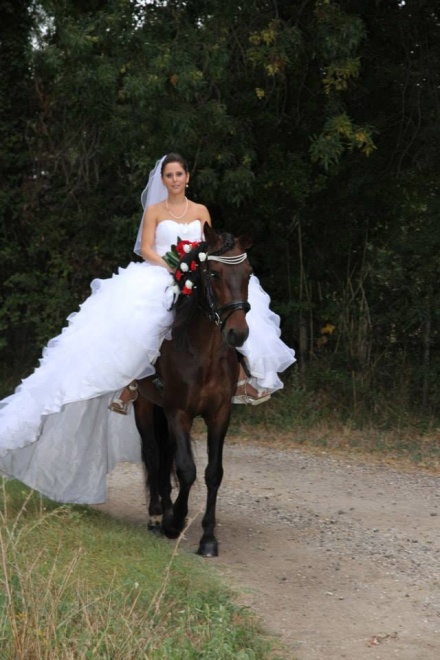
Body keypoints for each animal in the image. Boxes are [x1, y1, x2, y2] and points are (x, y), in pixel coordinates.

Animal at [132, 223, 253, 556]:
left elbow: (213, 473)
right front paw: (175, 522)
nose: (238, 334)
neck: (204, 353)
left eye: (249, 273)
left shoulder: (219, 415)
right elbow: (187, 469)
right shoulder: (178, 412)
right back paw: (157, 515)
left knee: (165, 456)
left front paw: (208, 538)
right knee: (154, 453)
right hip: (145, 405)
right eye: (213, 273)